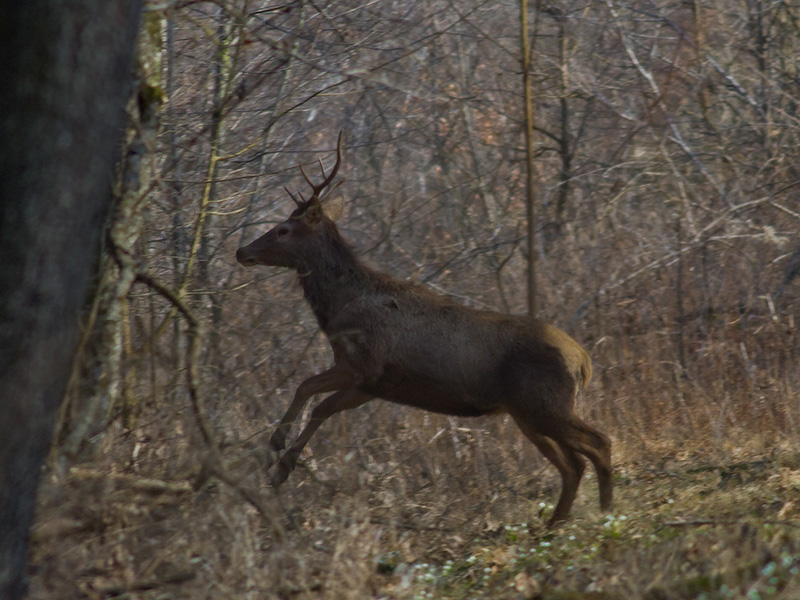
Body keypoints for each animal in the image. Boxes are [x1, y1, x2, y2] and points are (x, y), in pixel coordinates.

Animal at [236, 132, 612, 524]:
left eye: (283, 229)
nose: (241, 251)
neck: (339, 308)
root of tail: (584, 362)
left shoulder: (364, 363)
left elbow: (307, 390)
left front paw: (276, 453)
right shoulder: (373, 385)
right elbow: (320, 404)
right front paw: (280, 463)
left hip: (545, 403)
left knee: (598, 444)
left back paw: (606, 513)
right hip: (526, 412)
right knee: (572, 465)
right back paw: (556, 524)